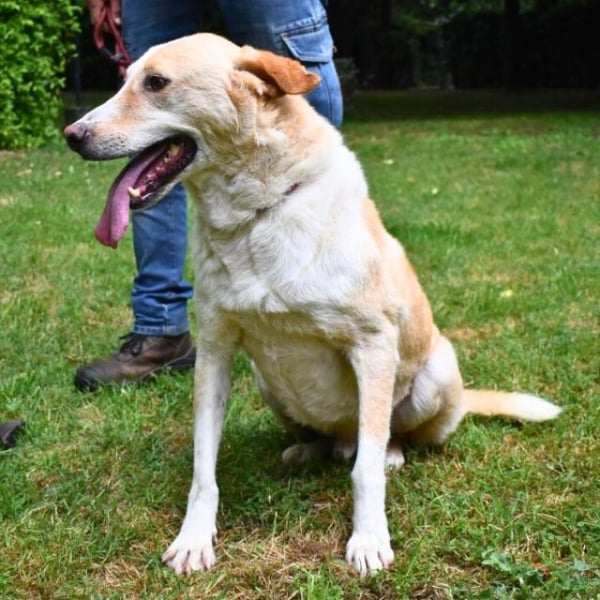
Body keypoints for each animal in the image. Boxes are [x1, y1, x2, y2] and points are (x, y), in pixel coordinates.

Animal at [64, 33, 561, 577]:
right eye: (125, 79)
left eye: (156, 83)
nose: (72, 135)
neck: (256, 217)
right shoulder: (216, 351)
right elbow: (203, 469)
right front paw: (194, 539)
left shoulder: (373, 345)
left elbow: (365, 472)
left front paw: (368, 538)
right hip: (267, 381)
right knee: (330, 438)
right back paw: (307, 450)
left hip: (435, 376)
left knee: (382, 437)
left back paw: (391, 452)